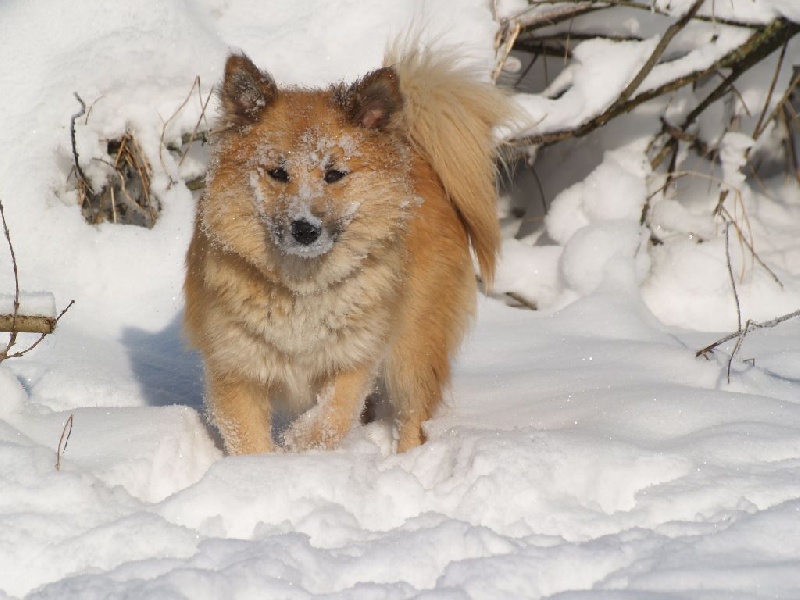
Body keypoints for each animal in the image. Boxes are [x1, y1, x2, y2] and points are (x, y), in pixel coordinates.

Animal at [185, 42, 516, 452]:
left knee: (413, 414)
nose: (305, 229)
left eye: (334, 174)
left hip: (413, 346)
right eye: (277, 172)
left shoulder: (353, 358)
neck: (301, 288)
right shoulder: (235, 370)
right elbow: (250, 441)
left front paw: (299, 444)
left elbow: (333, 415)